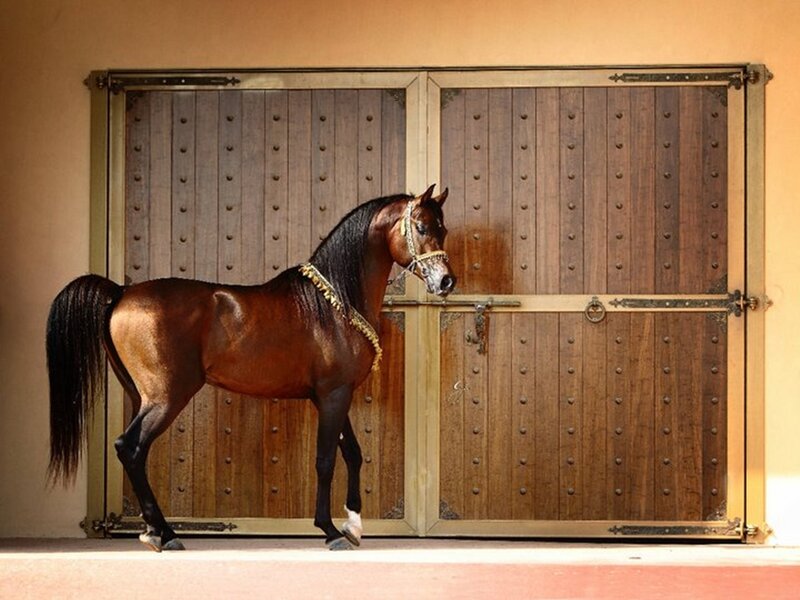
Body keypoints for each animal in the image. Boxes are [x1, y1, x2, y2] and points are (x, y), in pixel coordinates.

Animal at [46, 184, 455, 551]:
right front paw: (330, 531)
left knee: (135, 452)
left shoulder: (330, 396)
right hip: (166, 397)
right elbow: (325, 460)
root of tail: (120, 293)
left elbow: (352, 453)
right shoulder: (333, 394)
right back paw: (164, 534)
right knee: (130, 447)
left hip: (140, 396)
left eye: (443, 229)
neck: (333, 304)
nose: (446, 281)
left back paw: (156, 530)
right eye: (421, 227)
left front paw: (353, 525)